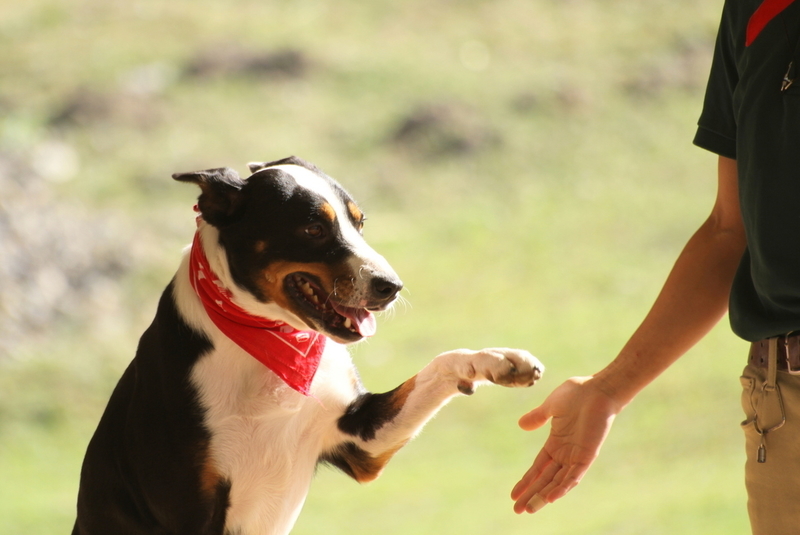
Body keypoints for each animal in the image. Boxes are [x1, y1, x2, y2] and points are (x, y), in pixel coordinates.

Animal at [73, 155, 544, 535]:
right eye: (313, 227)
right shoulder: (189, 510)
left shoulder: (363, 437)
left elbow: (440, 365)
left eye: (360, 222)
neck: (269, 343)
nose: (390, 286)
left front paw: (498, 360)